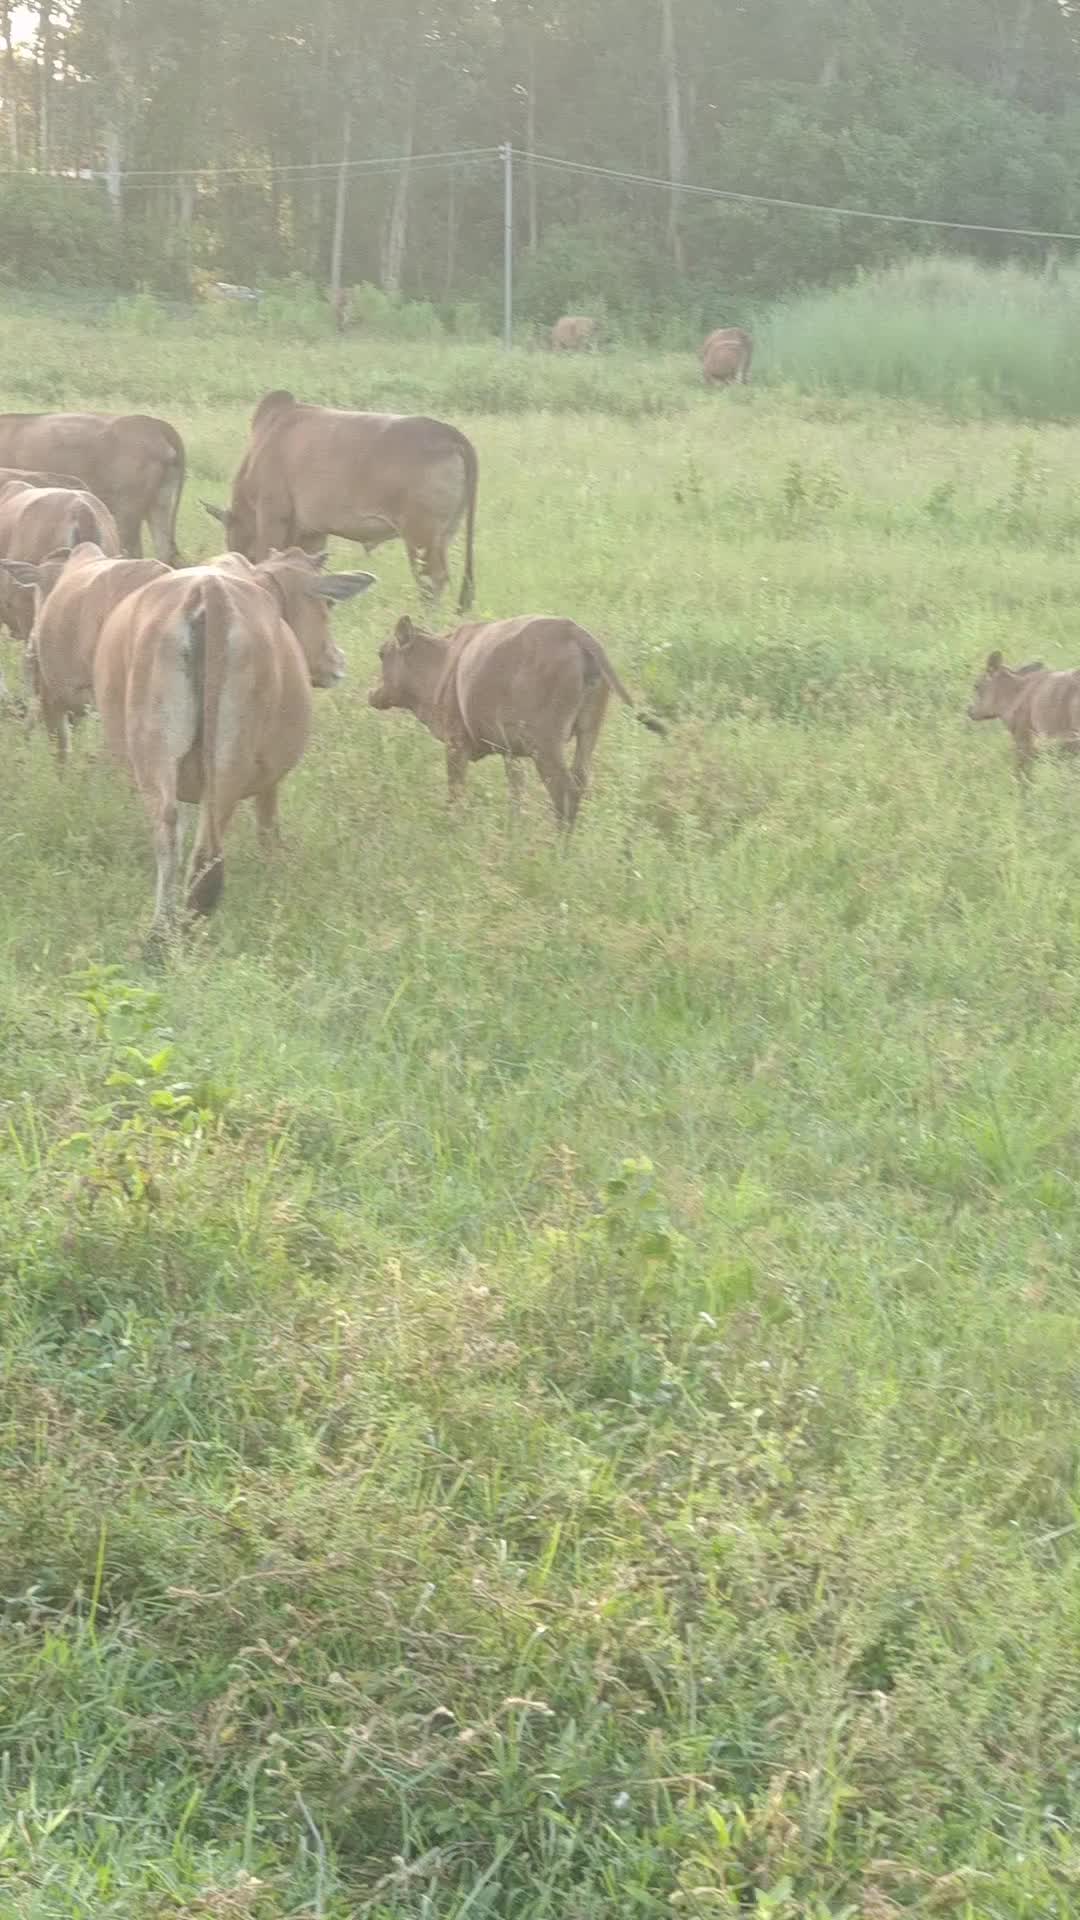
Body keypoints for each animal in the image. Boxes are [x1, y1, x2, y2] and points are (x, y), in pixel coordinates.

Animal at [93, 549, 378, 952]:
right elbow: (268, 829)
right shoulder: (269, 779)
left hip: (157, 754)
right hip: (230, 763)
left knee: (169, 834)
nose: (338, 660)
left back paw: (161, 934)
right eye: (327, 604)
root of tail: (208, 590)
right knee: (207, 853)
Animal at [202, 384, 478, 606]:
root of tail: (449, 433)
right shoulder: (312, 532)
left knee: (433, 579)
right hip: (444, 534)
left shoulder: (272, 516)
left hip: (420, 535)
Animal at [365, 614, 661, 825]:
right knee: (580, 781)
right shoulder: (512, 753)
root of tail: (573, 631)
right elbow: (516, 792)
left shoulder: (456, 744)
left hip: (547, 747)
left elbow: (456, 791)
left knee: (563, 790)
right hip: (587, 734)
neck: (445, 661)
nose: (372, 694)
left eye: (381, 653)